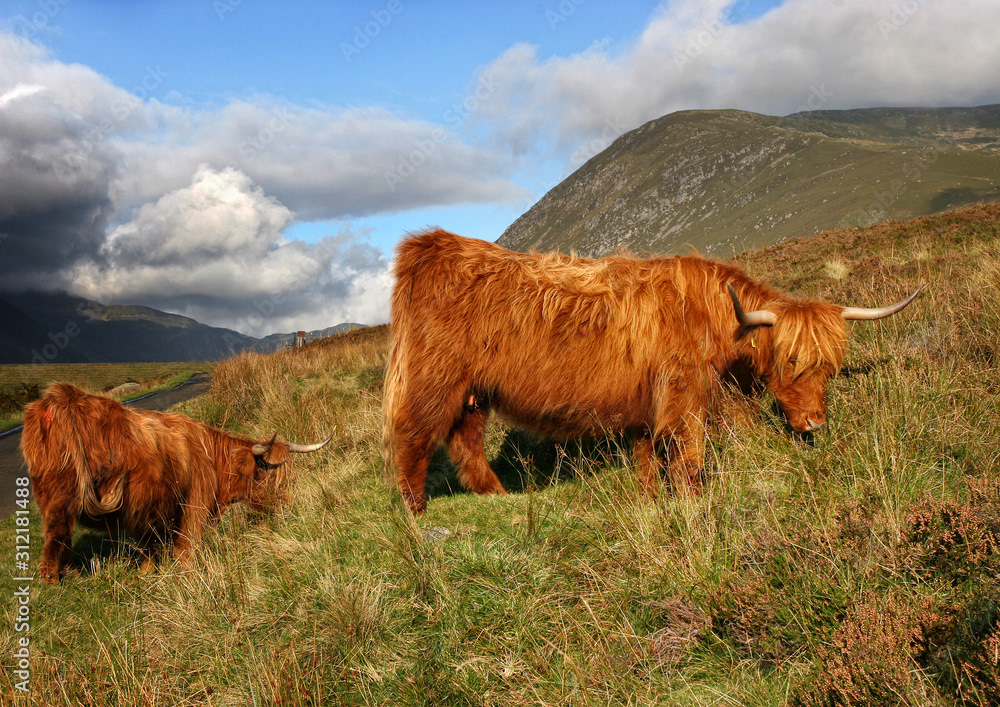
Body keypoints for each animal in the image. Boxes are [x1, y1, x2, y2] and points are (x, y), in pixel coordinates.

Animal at [21, 382, 333, 583]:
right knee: (55, 537)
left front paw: (146, 573)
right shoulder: (194, 505)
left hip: (50, 494)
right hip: (62, 496)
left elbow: (150, 546)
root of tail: (63, 399)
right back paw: (54, 581)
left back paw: (70, 572)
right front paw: (187, 574)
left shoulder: (151, 513)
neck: (212, 459)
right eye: (269, 476)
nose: (290, 508)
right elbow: (186, 547)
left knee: (59, 536)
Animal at [382, 228, 921, 514]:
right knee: (413, 436)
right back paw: (416, 512)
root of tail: (432, 245)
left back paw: (501, 497)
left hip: (474, 389)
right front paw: (694, 503)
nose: (814, 423)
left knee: (464, 438)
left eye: (829, 367)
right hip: (434, 378)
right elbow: (690, 456)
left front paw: (647, 499)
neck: (712, 316)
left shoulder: (647, 402)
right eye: (791, 361)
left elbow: (647, 455)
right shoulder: (684, 393)